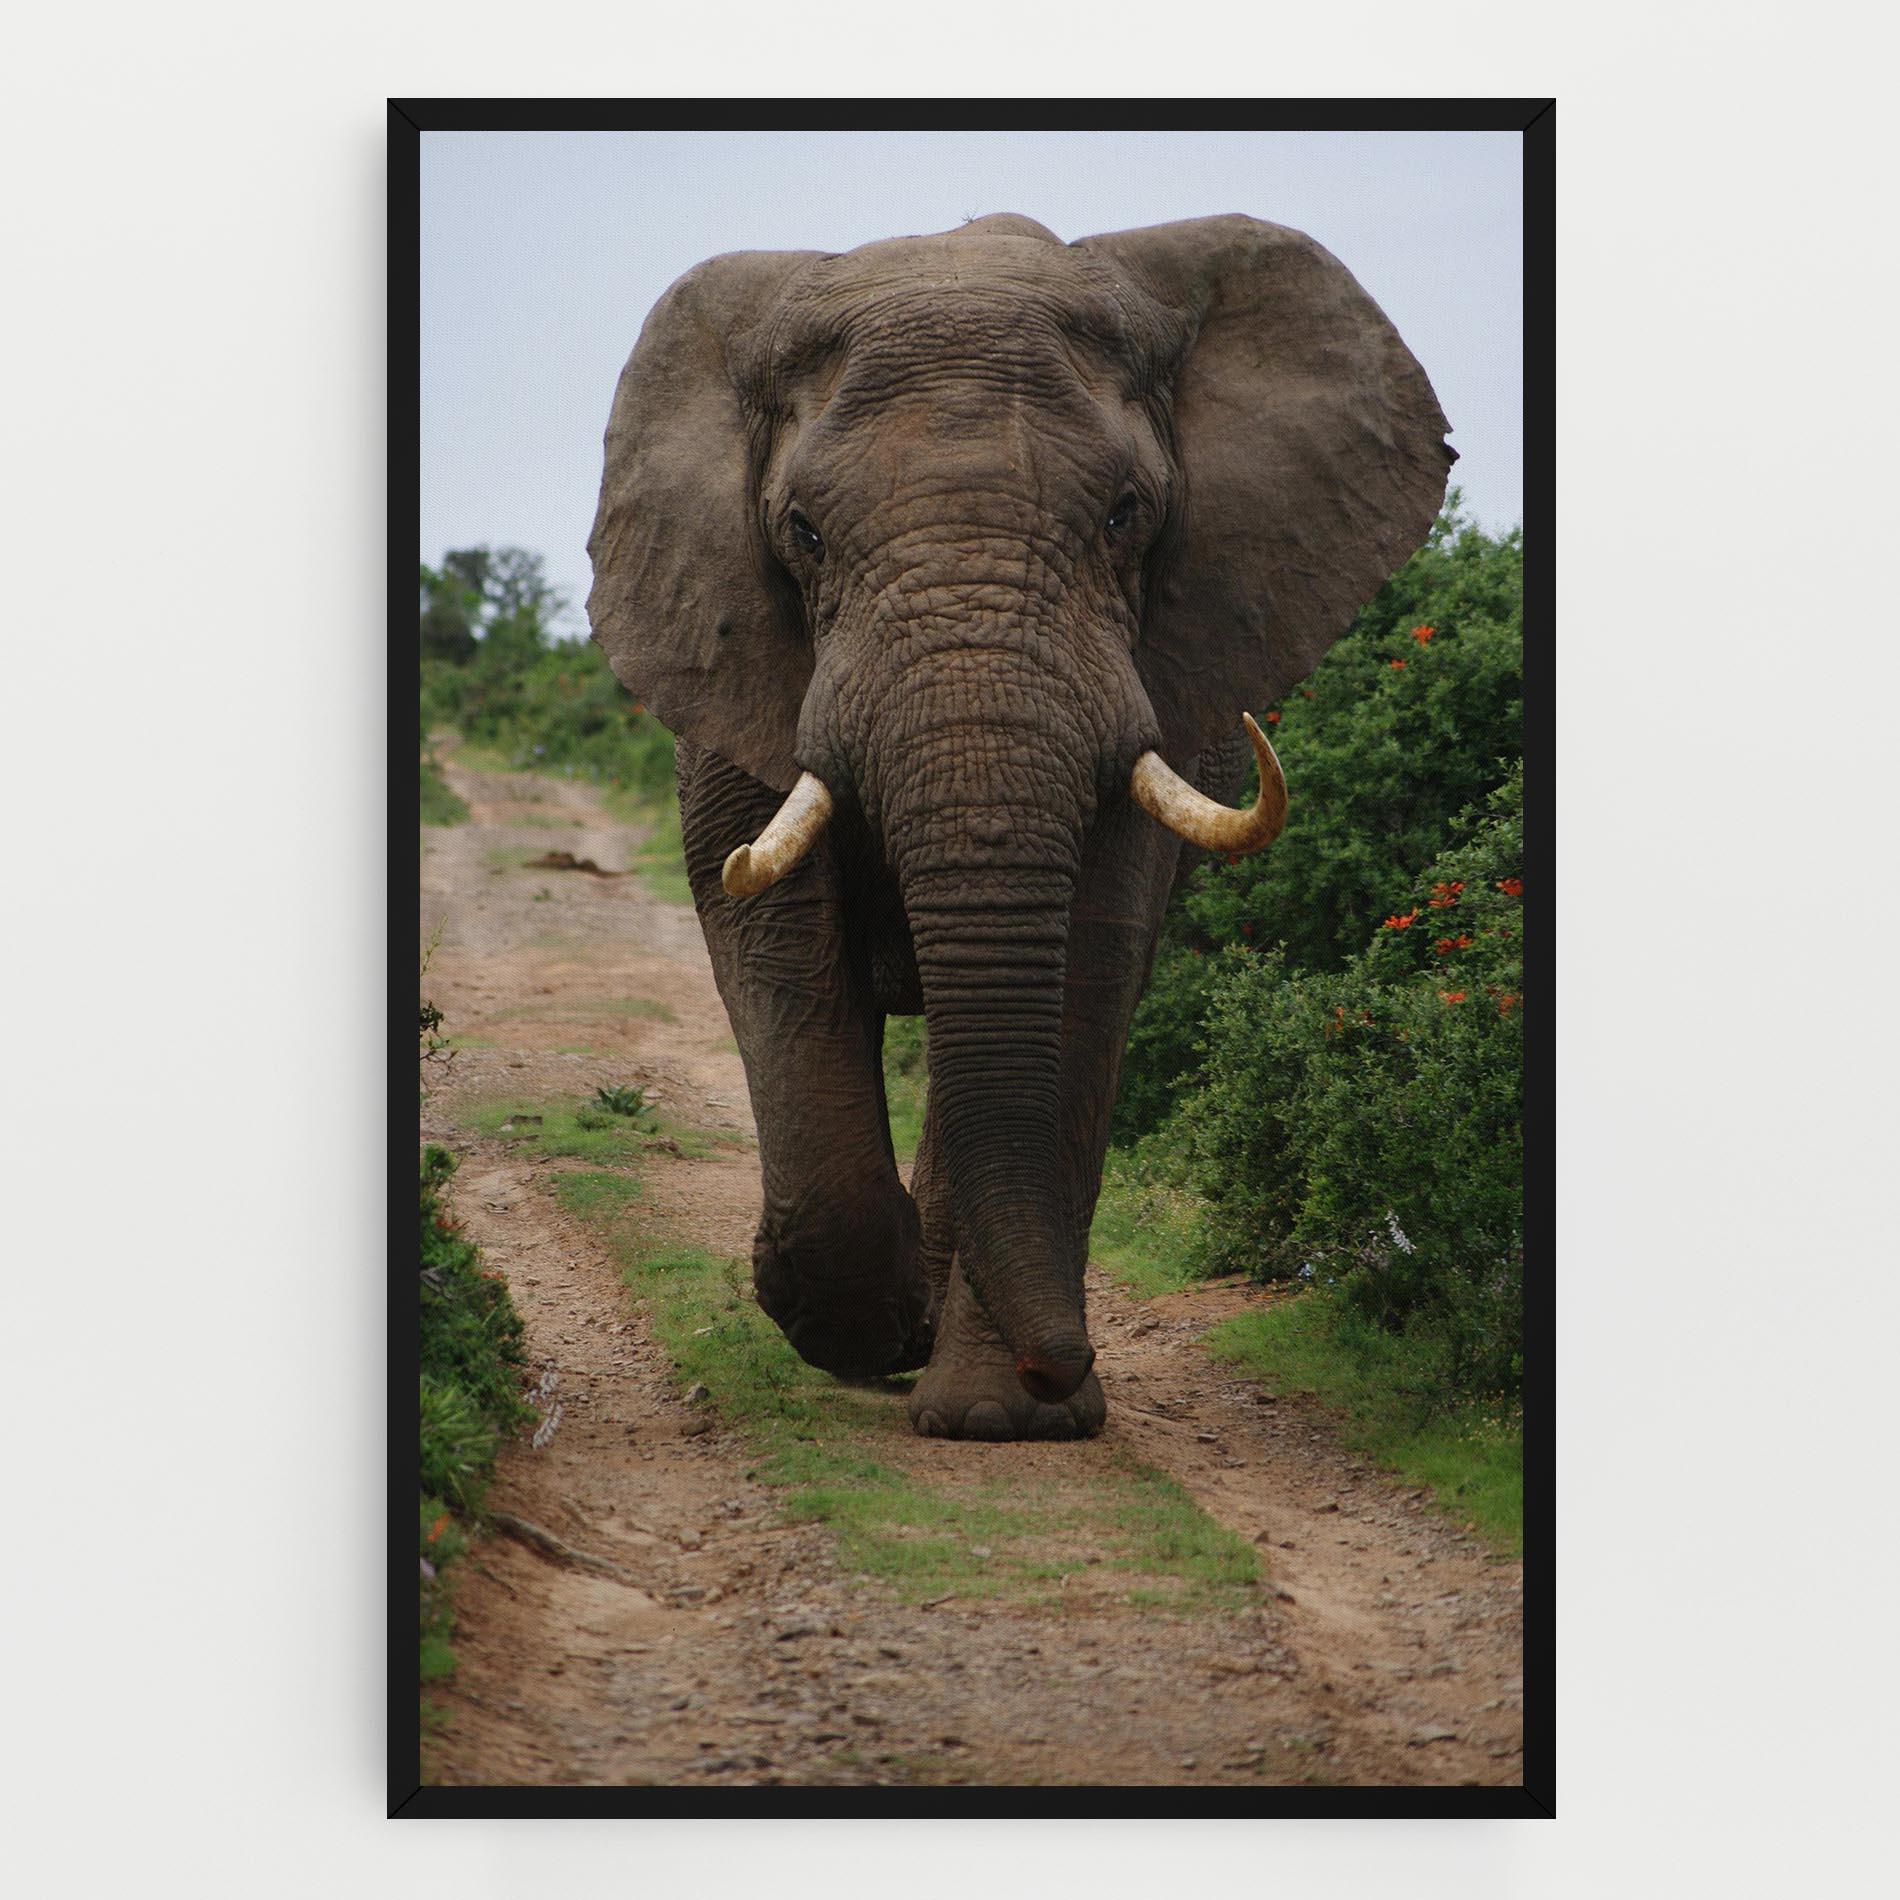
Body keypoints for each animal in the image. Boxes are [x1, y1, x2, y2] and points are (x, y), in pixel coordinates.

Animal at [586, 213, 1452, 1441]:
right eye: (802, 532)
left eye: (1126, 515)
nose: (1064, 1362)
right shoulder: (729, 655)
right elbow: (769, 934)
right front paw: (863, 1325)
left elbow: (1089, 958)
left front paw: (1005, 1418)